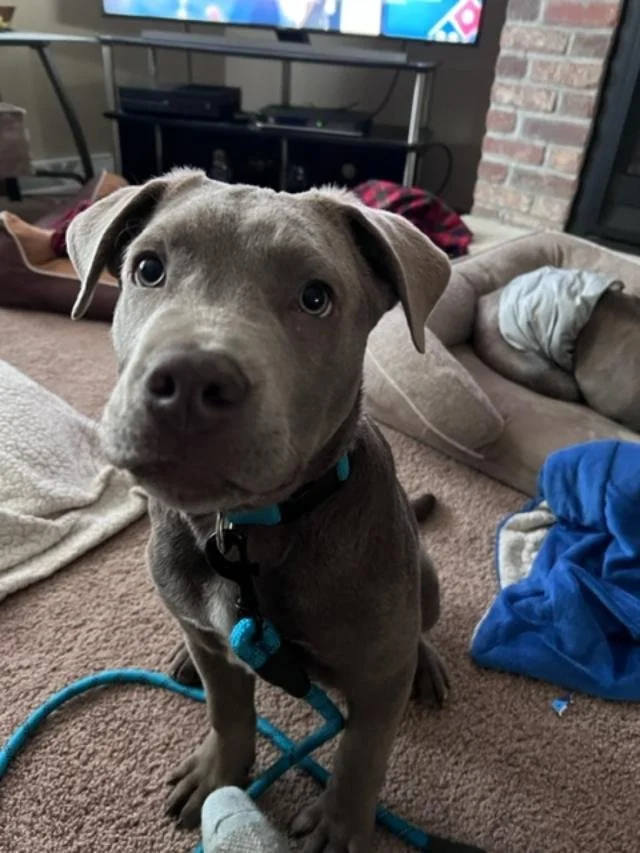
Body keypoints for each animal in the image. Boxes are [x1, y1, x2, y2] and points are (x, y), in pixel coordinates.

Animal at [67, 168, 451, 853]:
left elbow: (362, 751)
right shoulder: (216, 646)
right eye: (147, 268)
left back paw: (426, 661)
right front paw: (220, 771)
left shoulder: (377, 678)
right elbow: (229, 711)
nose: (191, 381)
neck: (246, 529)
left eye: (316, 298)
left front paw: (341, 824)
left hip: (423, 581)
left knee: (420, 628)